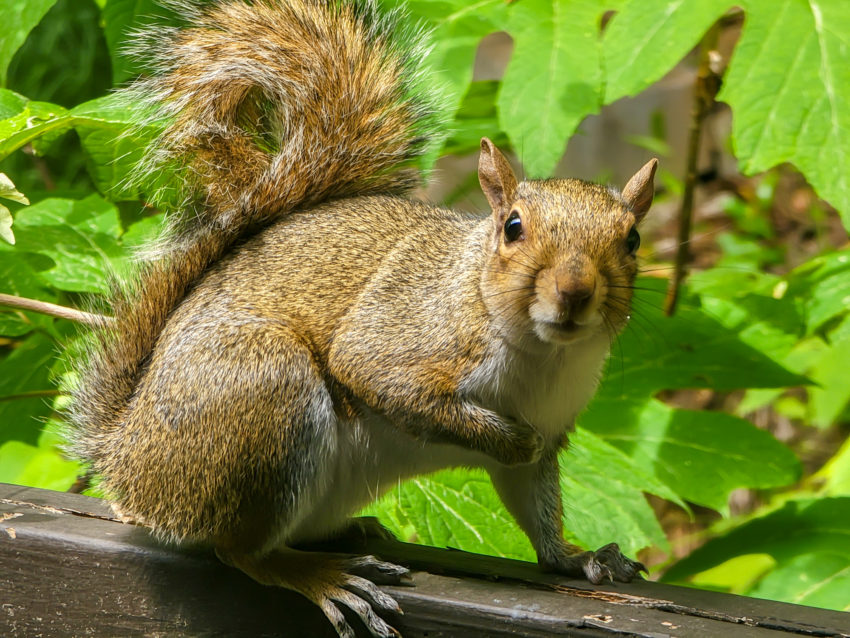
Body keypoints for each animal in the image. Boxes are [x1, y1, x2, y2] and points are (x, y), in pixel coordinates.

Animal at [64, 1, 657, 636]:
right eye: (513, 227)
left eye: (632, 239)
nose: (574, 292)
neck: (542, 354)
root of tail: (126, 453)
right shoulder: (406, 330)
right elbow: (380, 378)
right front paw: (507, 438)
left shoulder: (553, 422)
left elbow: (537, 507)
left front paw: (580, 557)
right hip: (262, 394)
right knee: (240, 550)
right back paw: (320, 576)